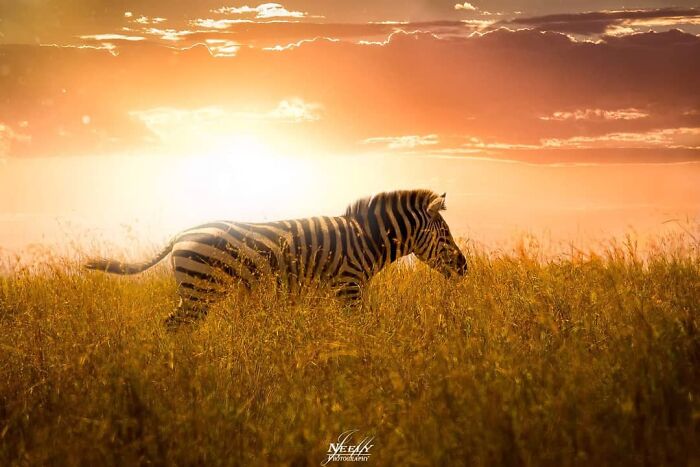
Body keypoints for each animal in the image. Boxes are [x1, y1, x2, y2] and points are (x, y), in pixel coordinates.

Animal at [85, 189, 468, 327]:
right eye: (446, 235)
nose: (465, 269)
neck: (366, 239)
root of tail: (181, 235)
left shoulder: (330, 291)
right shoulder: (348, 287)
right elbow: (359, 327)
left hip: (196, 291)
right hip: (201, 288)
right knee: (175, 325)